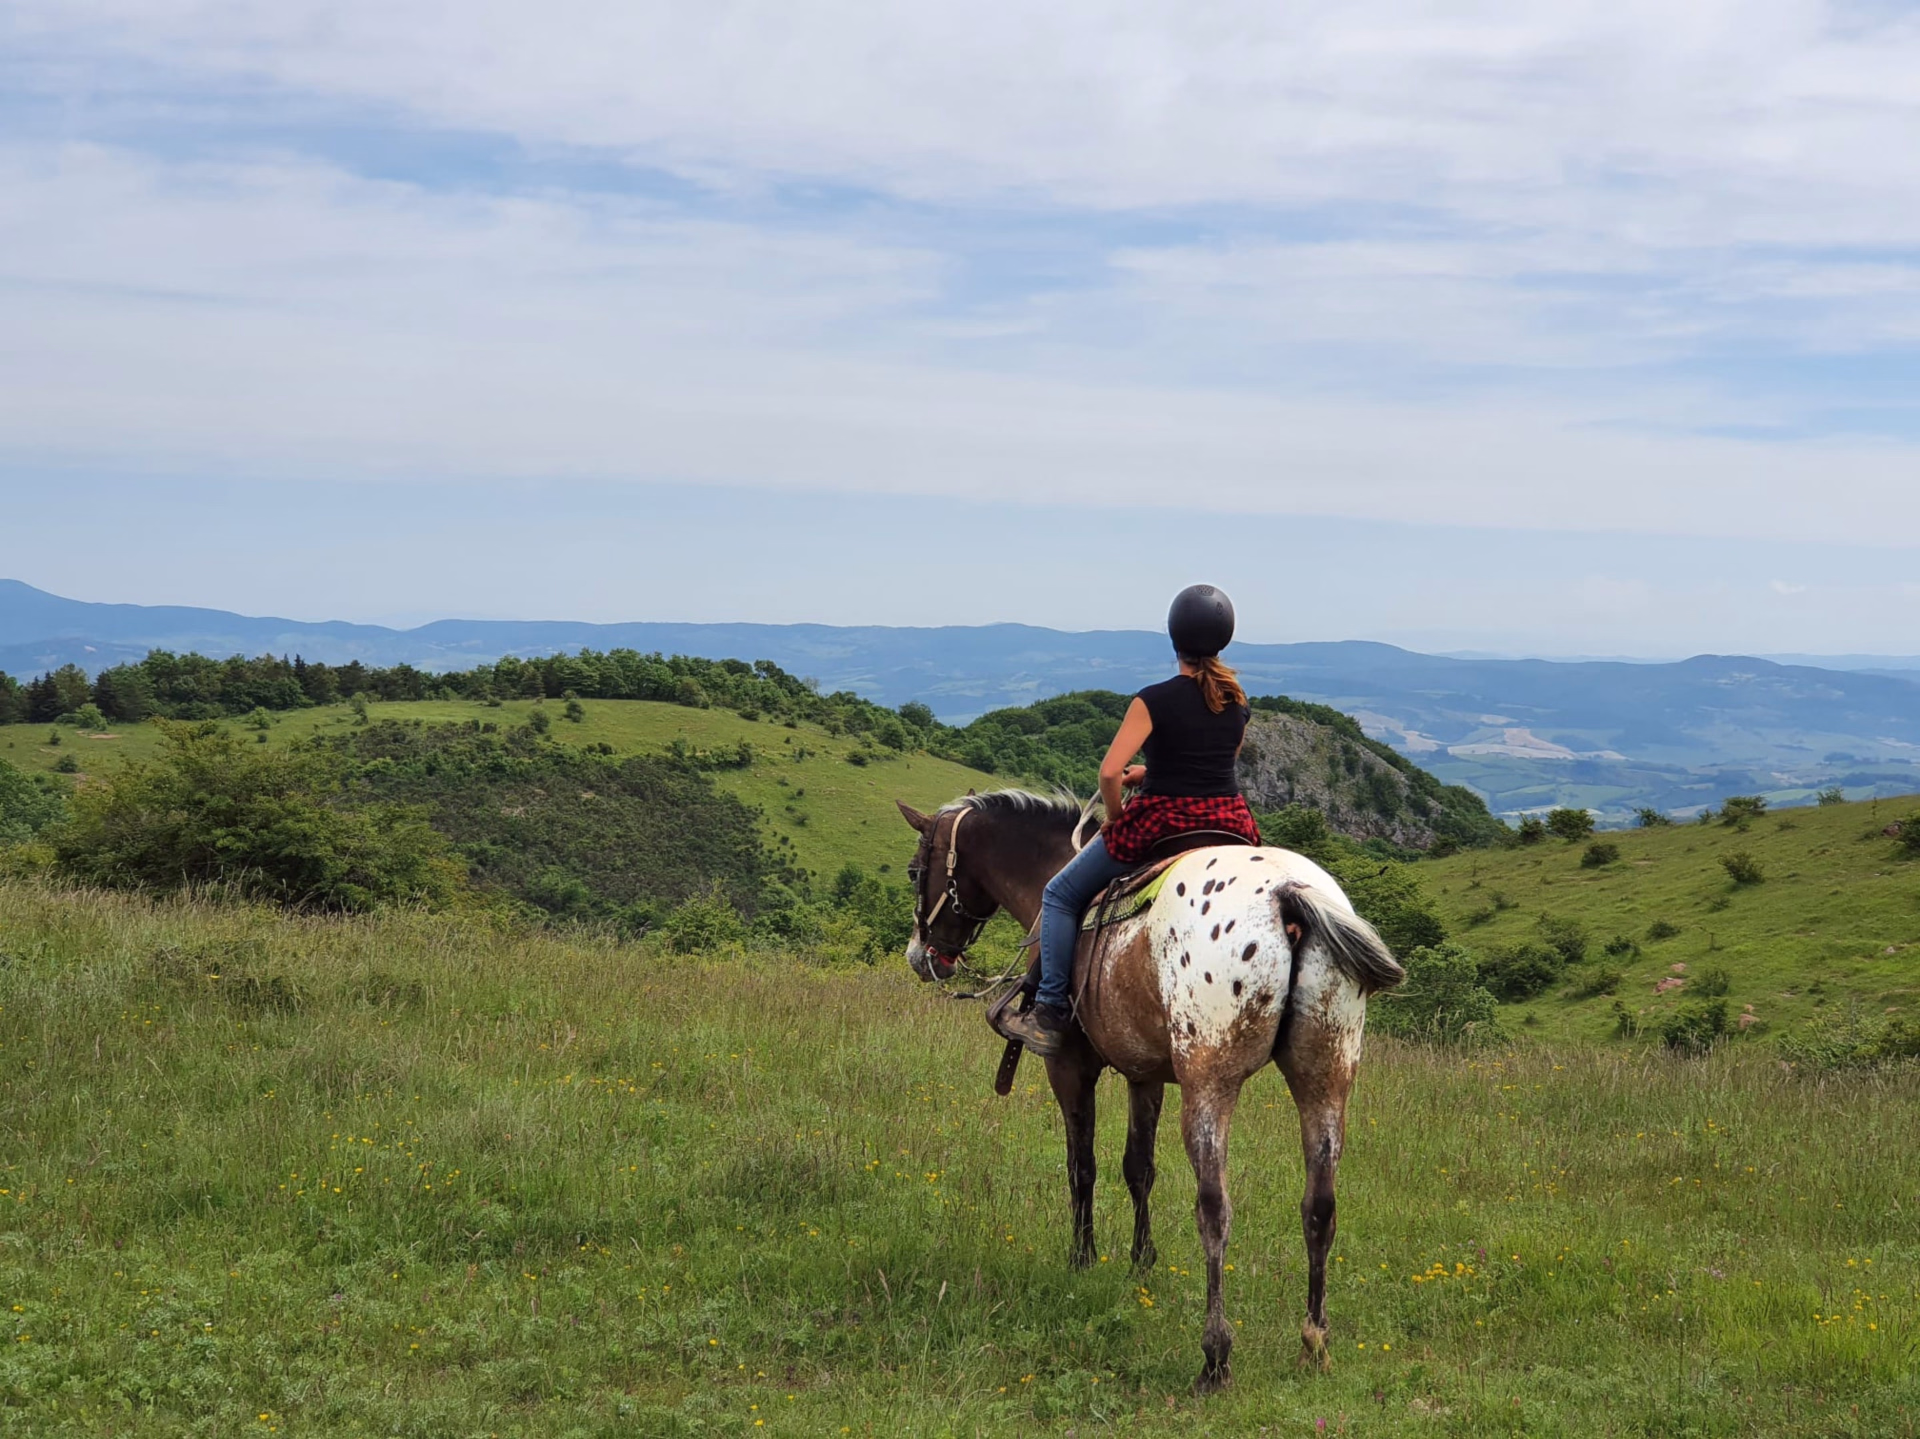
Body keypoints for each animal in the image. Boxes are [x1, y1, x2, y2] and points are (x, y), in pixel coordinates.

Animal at [896, 788, 1403, 1394]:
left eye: (915, 871)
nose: (921, 957)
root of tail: (1287, 898)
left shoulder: (1069, 1066)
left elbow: (1082, 1165)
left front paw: (1083, 1257)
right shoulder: (1147, 1074)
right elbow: (1139, 1167)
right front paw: (1141, 1262)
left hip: (1209, 1084)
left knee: (1215, 1207)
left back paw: (1215, 1357)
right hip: (1324, 1078)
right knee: (1320, 1205)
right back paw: (1314, 1343)